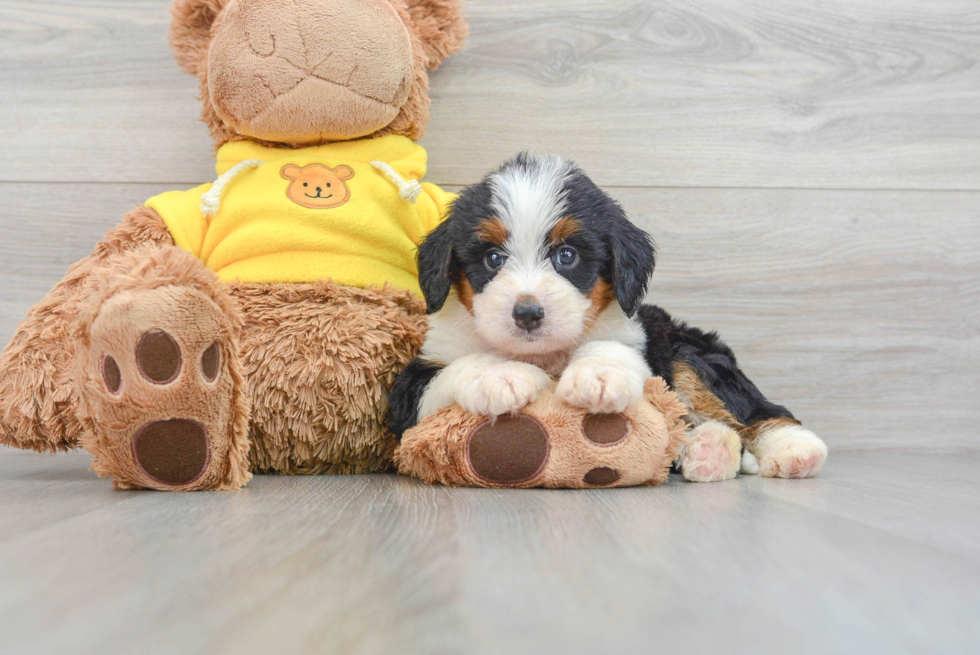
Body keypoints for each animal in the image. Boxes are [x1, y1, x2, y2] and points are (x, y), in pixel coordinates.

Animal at [390, 154, 828, 482]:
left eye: (567, 256)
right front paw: (501, 377)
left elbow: (610, 349)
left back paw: (792, 448)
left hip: (688, 351)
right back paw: (709, 450)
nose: (528, 313)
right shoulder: (408, 394)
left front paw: (597, 376)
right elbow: (456, 370)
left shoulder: (637, 339)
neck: (543, 356)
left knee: (756, 409)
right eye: (493, 259)